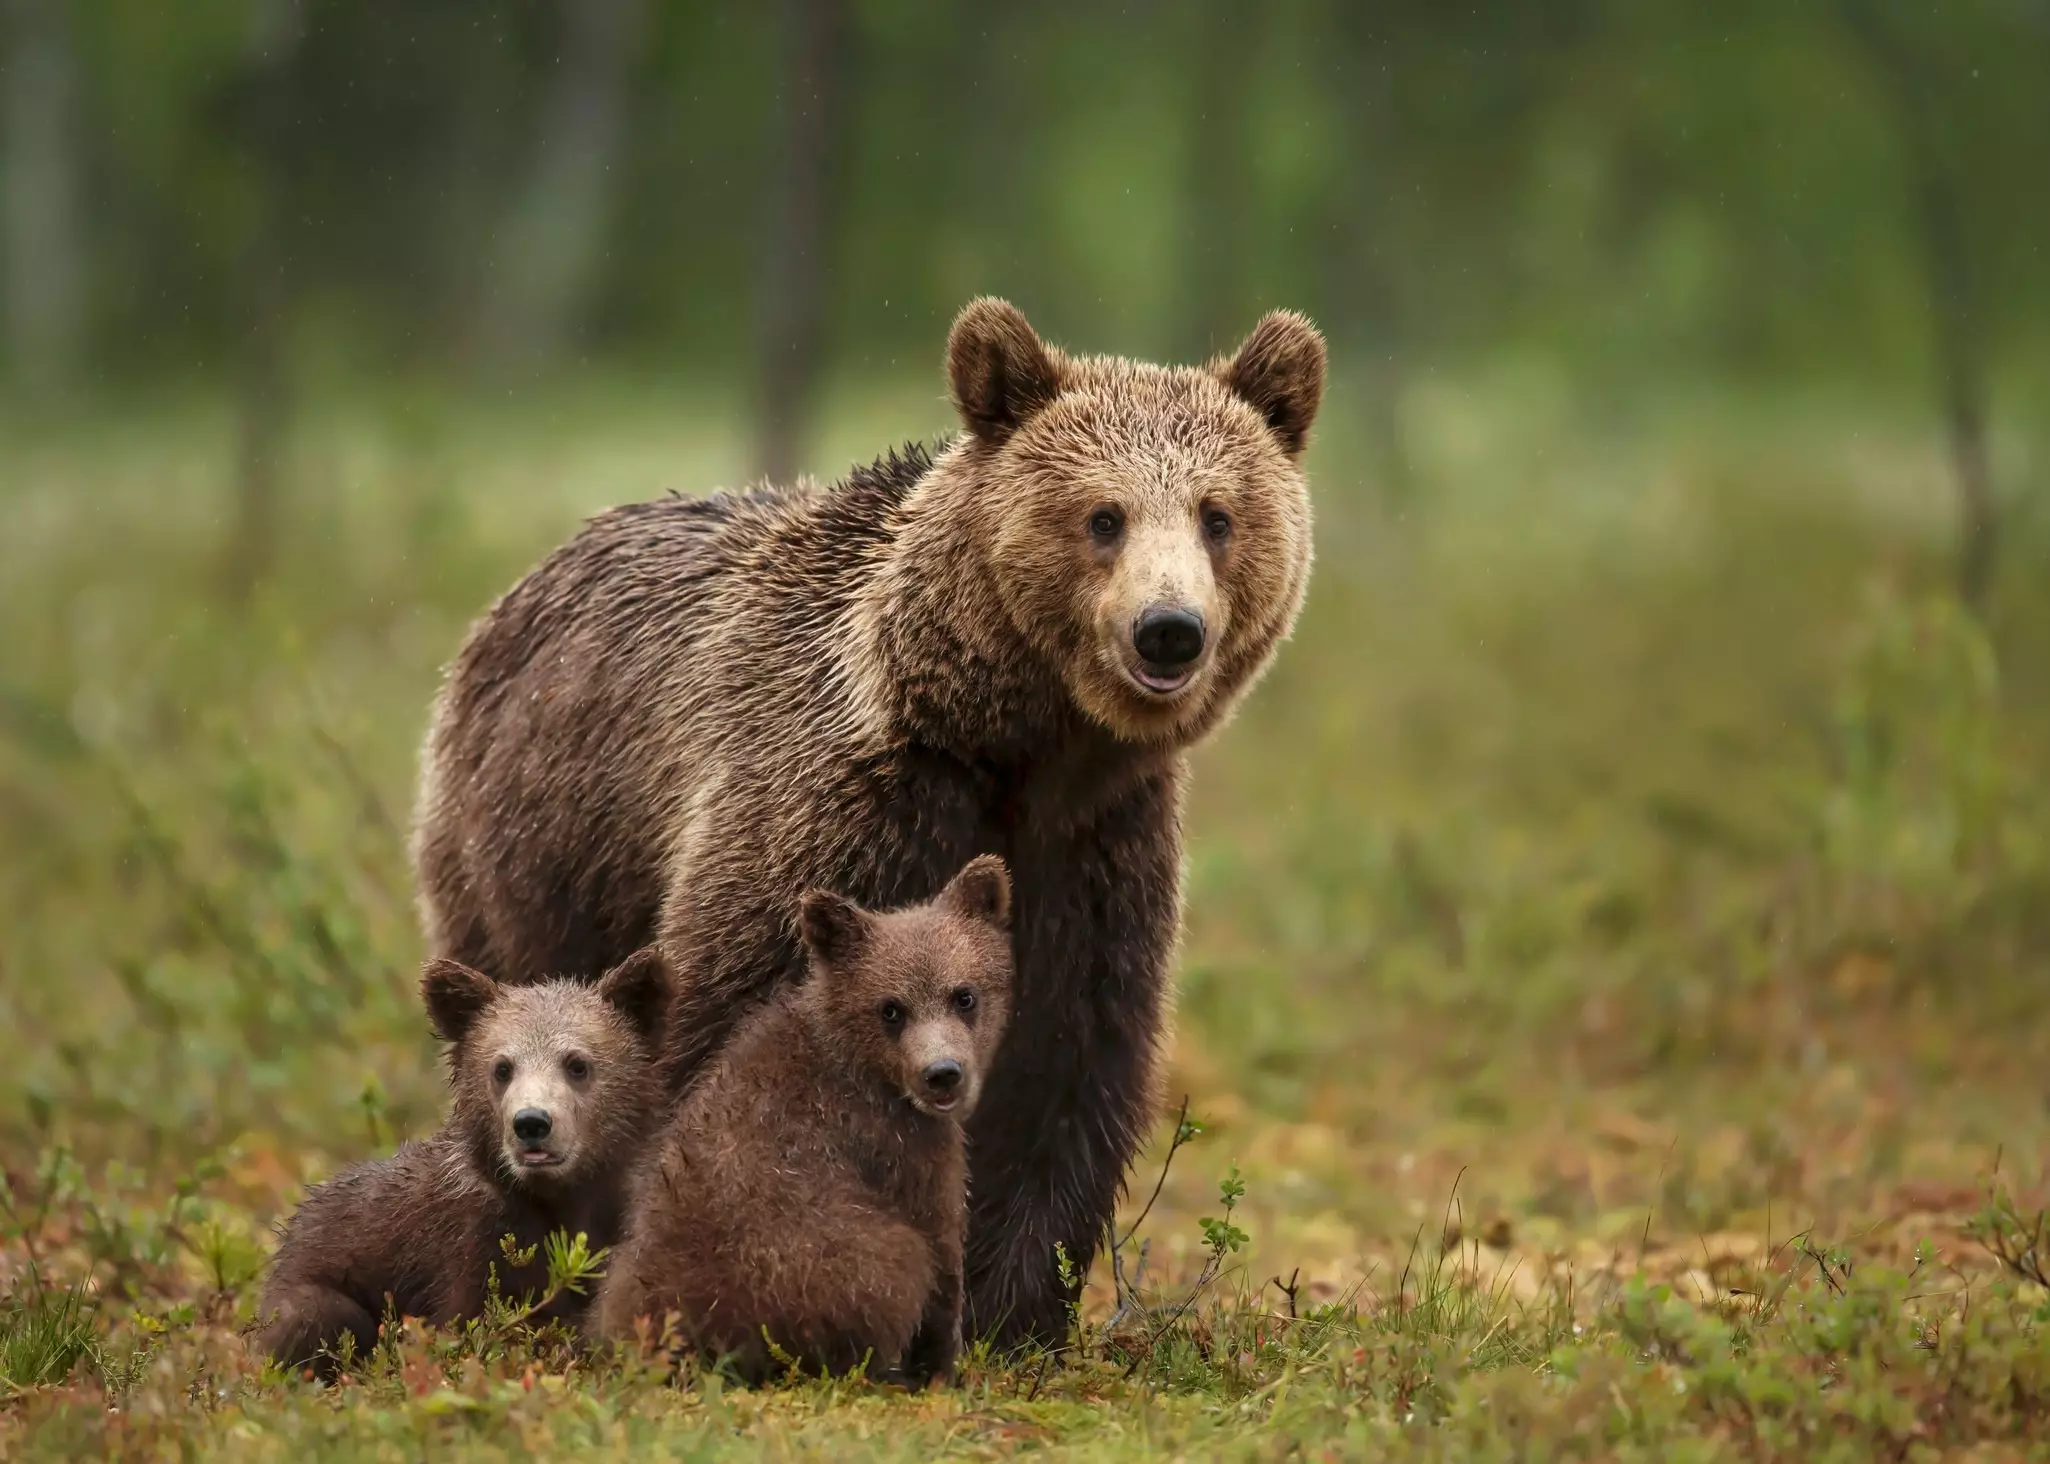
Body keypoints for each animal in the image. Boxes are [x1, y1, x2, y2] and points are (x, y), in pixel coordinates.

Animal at [594, 855, 1014, 1384]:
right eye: (890, 1008)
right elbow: (942, 1253)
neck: (868, 1066)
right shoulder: (900, 1149)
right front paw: (944, 1367)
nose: (942, 1074)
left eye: (964, 995)